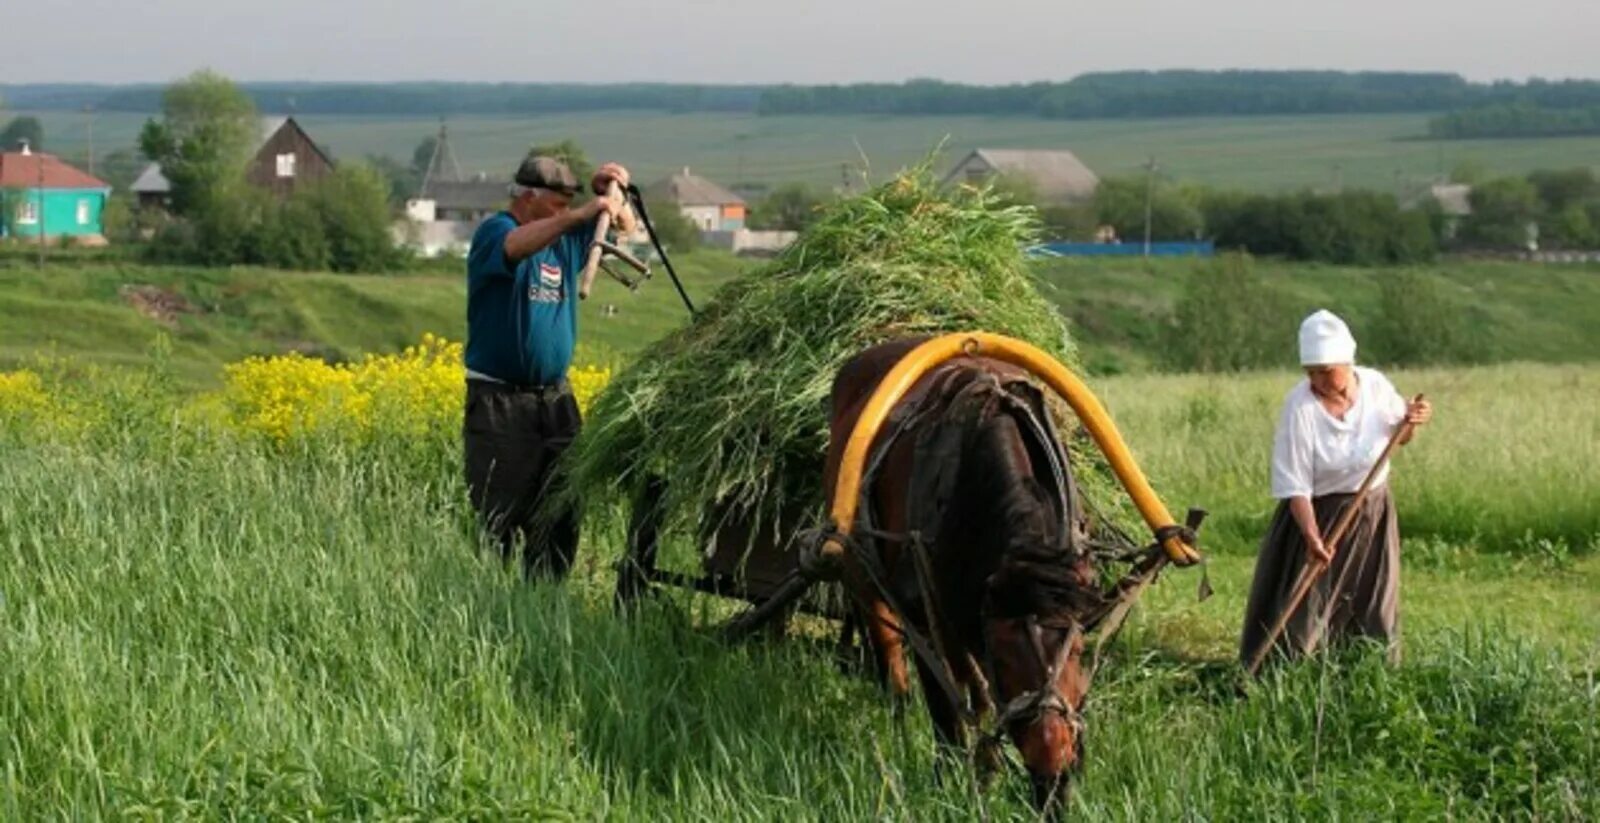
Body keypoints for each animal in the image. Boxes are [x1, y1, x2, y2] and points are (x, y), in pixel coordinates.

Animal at [825, 334, 1100, 806]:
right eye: (1003, 656)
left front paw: (989, 771)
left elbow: (978, 694)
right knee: (892, 664)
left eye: (1079, 650)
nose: (1052, 776)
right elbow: (946, 707)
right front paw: (947, 781)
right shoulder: (924, 613)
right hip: (862, 575)